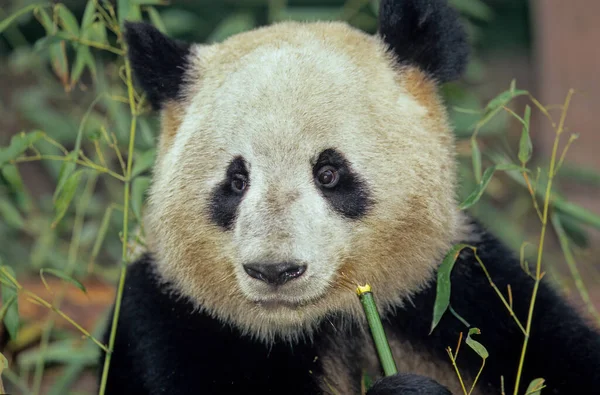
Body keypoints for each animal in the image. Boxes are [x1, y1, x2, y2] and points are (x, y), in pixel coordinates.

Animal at [101, 0, 600, 395]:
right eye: (236, 181)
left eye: (329, 173)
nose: (275, 271)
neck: (322, 318)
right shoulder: (181, 323)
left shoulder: (455, 293)